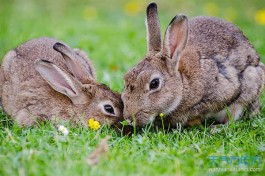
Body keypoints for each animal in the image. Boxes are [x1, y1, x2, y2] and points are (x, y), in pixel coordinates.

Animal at [121, 2, 264, 126]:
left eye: (154, 83)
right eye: (126, 78)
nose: (129, 119)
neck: (183, 84)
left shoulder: (226, 90)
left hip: (250, 84)